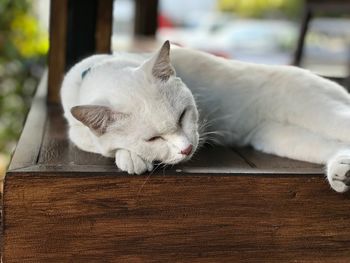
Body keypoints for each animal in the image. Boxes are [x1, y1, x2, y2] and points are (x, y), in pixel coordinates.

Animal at [61, 41, 350, 194]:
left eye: (182, 116)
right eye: (153, 138)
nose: (187, 149)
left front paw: (131, 158)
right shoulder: (77, 133)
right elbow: (103, 146)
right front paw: (131, 157)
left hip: (321, 112)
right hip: (282, 138)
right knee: (334, 147)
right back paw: (342, 173)